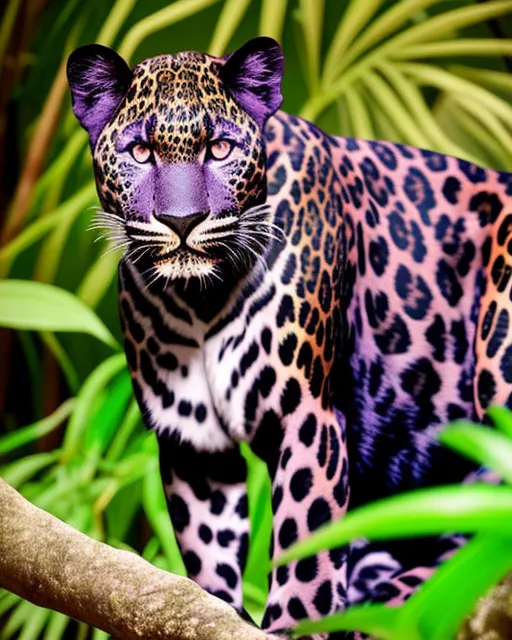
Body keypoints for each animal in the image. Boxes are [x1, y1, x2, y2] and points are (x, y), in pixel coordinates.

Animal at [67, 36, 512, 640]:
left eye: (220, 149)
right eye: (139, 152)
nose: (182, 221)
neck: (200, 300)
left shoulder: (308, 414)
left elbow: (306, 544)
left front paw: (292, 625)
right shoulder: (193, 442)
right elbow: (208, 544)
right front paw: (219, 608)